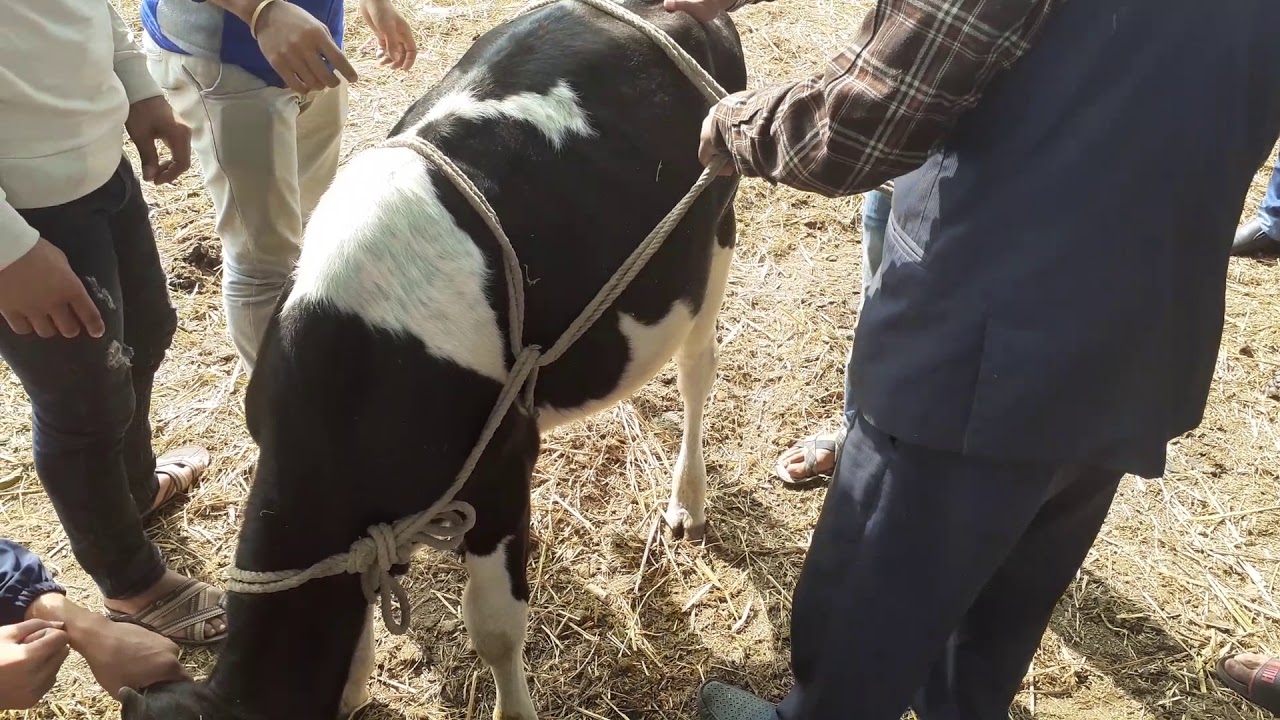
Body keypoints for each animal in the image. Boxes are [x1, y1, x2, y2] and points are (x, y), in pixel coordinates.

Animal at [118, 0, 746, 717]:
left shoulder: (499, 474)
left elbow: (496, 630)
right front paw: (355, 685)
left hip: (712, 239)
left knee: (697, 369)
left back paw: (688, 501)